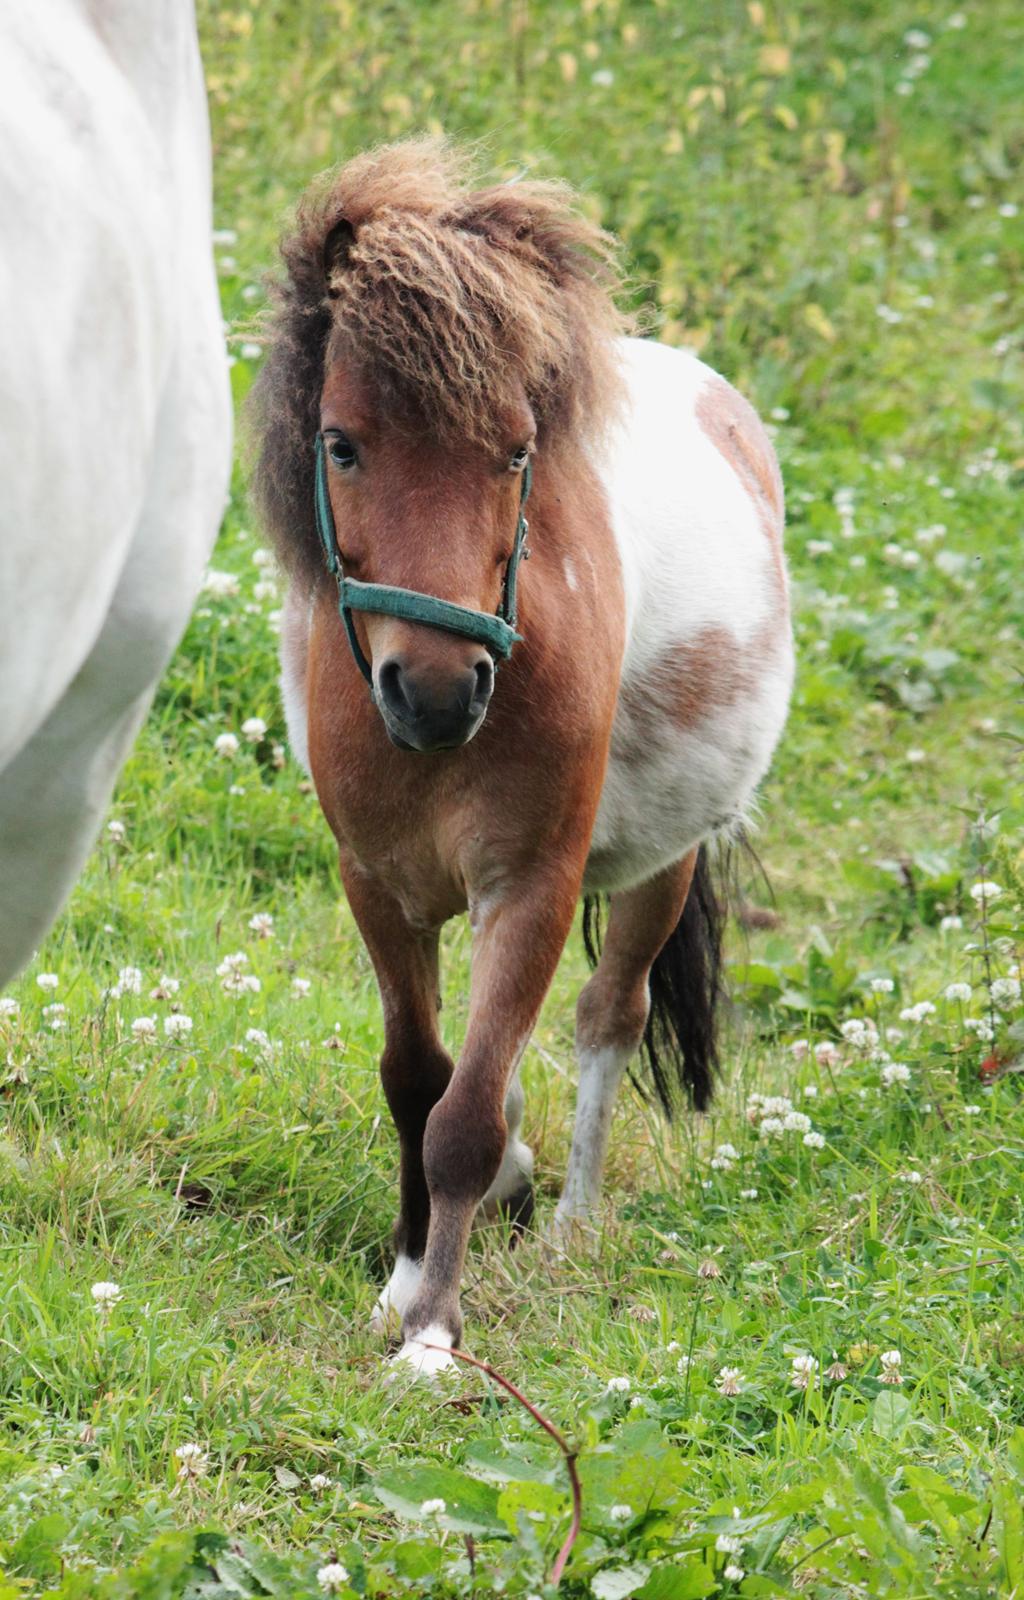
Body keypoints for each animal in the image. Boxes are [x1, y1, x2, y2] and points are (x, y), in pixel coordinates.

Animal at [252, 140, 796, 1376]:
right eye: (341, 443)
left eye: (516, 453)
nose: (437, 690)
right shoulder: (379, 886)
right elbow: (418, 1083)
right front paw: (405, 1278)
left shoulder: (529, 888)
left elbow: (463, 1115)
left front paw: (432, 1338)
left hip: (659, 867)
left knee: (611, 1016)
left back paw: (576, 1225)